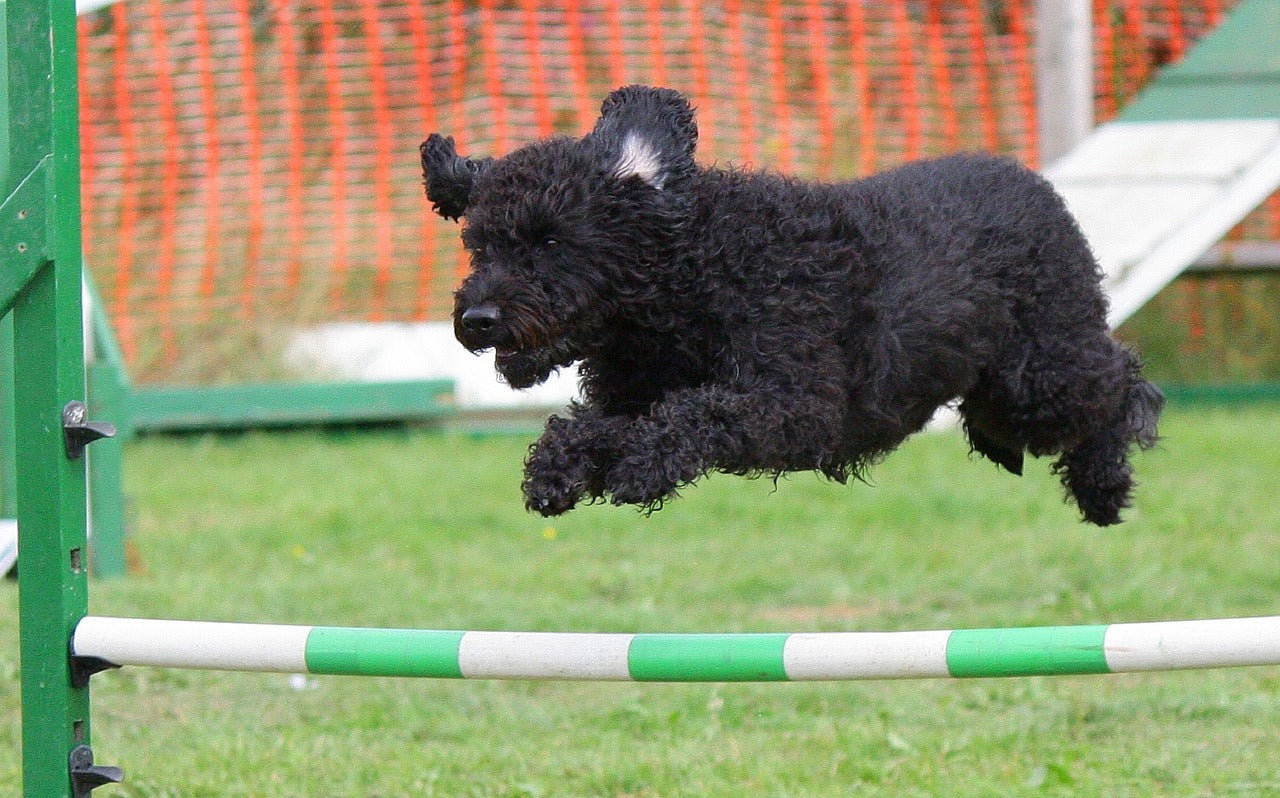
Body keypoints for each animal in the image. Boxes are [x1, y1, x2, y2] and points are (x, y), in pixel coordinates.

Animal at [419, 85, 1162, 525]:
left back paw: (1104, 483)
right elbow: (593, 425)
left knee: (1119, 380)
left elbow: (696, 413)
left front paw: (642, 466)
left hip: (1038, 378)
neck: (691, 280)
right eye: (481, 246)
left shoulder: (801, 406)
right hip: (998, 400)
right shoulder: (631, 395)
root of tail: (1035, 184)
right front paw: (558, 468)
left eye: (550, 239)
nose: (477, 321)